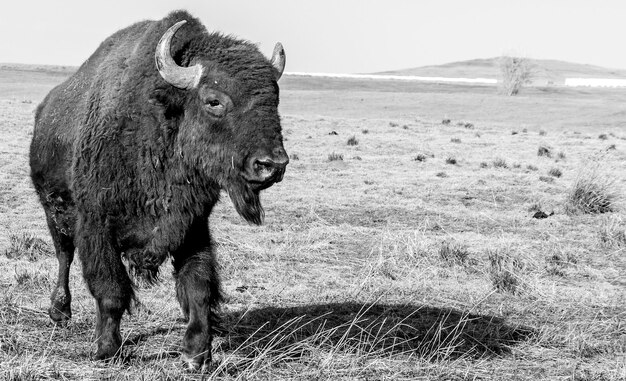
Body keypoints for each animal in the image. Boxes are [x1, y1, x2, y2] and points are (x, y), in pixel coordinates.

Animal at [30, 9, 288, 368]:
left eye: (275, 98)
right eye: (213, 101)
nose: (272, 164)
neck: (160, 121)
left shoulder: (192, 226)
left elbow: (198, 287)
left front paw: (197, 354)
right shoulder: (96, 226)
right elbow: (111, 290)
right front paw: (107, 349)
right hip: (54, 212)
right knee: (64, 256)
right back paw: (59, 312)